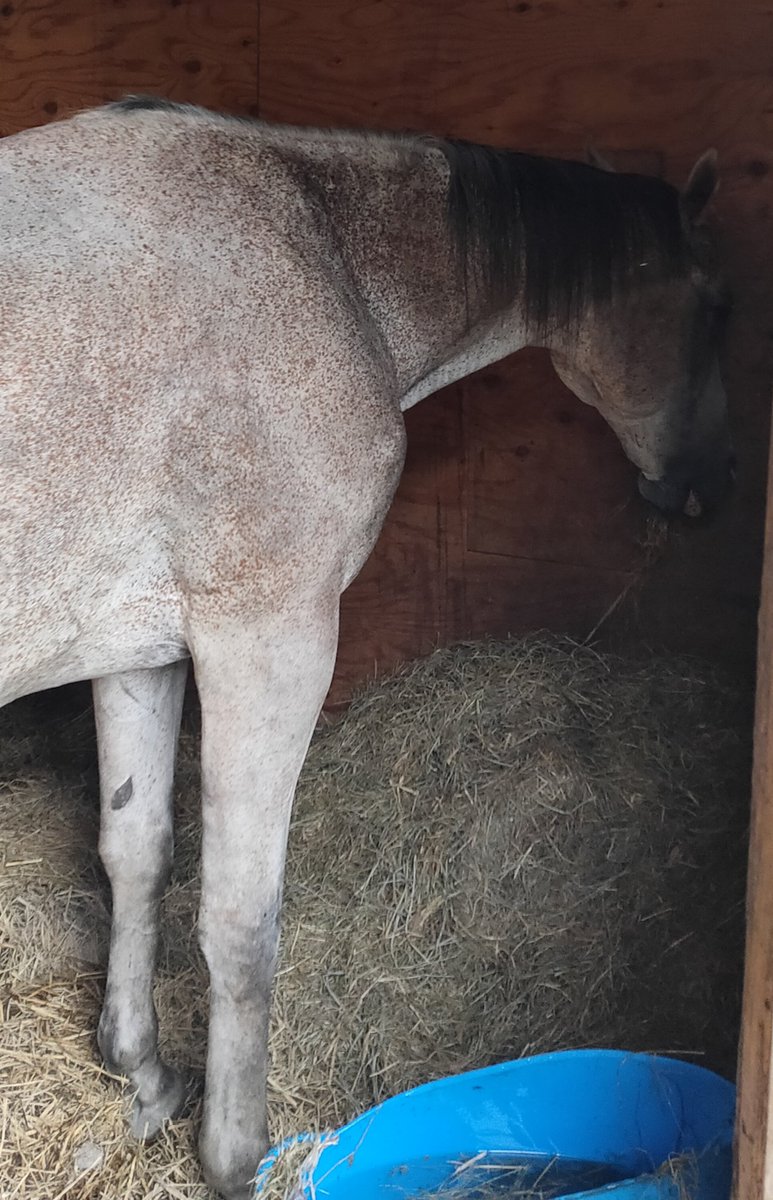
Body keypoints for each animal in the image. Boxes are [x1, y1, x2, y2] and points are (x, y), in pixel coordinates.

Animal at [0, 97, 731, 1199]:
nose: (696, 490)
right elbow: (241, 921)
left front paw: (141, 1074)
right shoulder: (273, 636)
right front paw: (236, 1155)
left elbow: (136, 851)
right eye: (717, 309)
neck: (318, 246)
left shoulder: (141, 649)